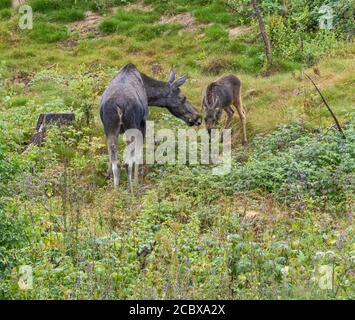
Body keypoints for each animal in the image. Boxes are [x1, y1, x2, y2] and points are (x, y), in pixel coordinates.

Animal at [100, 63, 202, 191]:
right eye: (183, 98)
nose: (197, 117)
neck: (149, 95)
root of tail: (118, 105)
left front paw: (107, 176)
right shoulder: (142, 124)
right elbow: (138, 156)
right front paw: (136, 182)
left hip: (110, 128)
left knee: (116, 162)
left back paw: (116, 189)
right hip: (132, 127)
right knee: (127, 163)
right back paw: (131, 189)